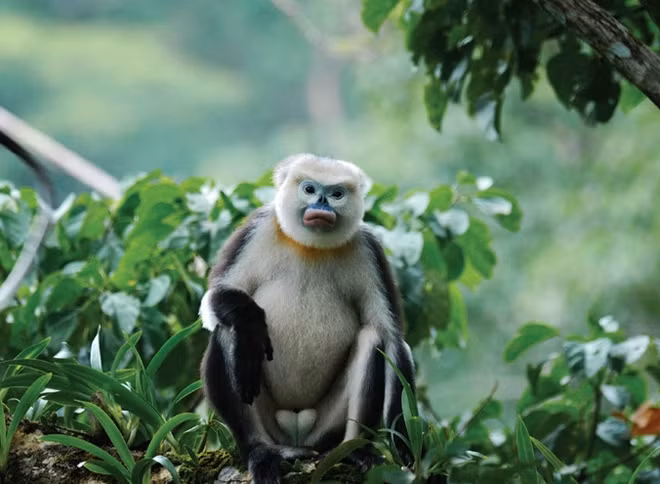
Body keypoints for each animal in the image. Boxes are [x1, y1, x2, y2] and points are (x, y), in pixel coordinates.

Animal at [199, 153, 415, 484]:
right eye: (310, 189)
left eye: (336, 194)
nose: (322, 203)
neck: (310, 247)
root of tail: (296, 434)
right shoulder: (257, 229)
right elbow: (213, 300)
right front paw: (250, 323)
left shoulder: (368, 248)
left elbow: (392, 339)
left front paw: (404, 445)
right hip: (270, 422)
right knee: (227, 330)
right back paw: (261, 452)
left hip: (324, 426)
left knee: (372, 337)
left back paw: (354, 450)